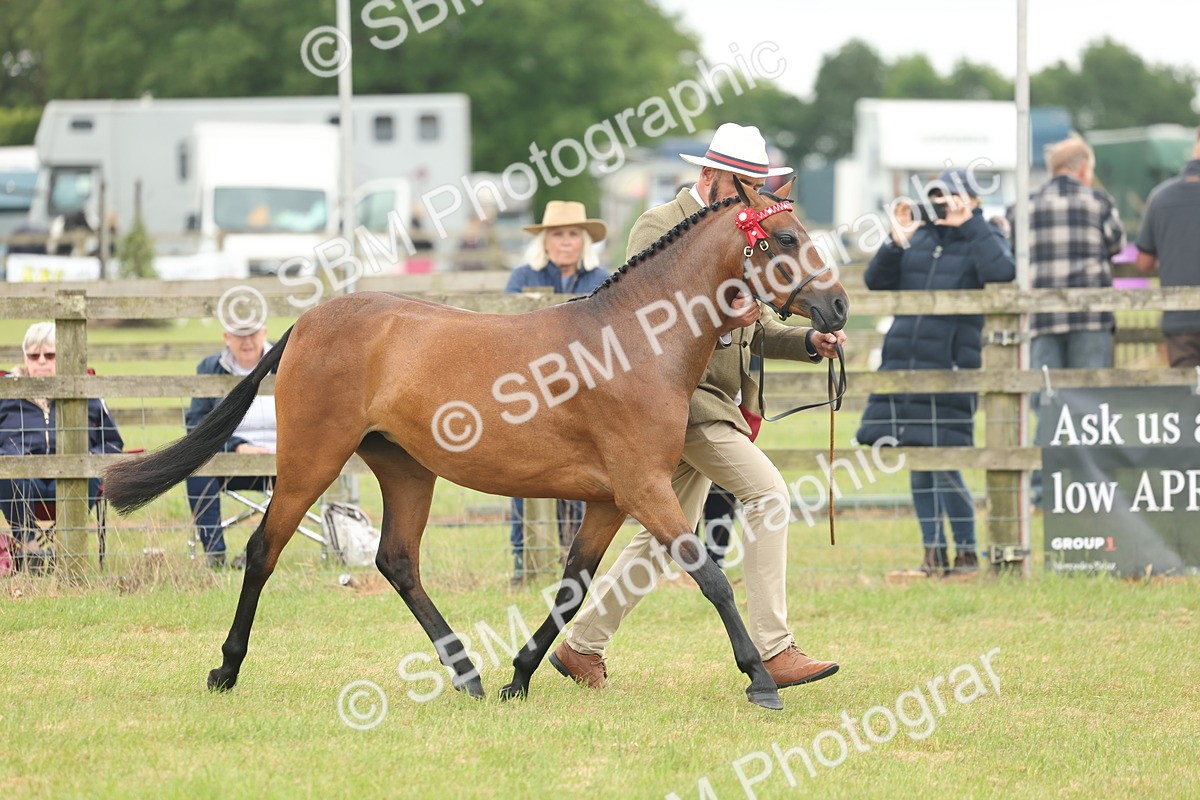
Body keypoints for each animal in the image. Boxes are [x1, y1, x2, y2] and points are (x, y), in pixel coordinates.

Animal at [102, 177, 849, 710]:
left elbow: (573, 586)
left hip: (406, 469)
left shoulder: (611, 500)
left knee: (397, 561)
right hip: (311, 459)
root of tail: (310, 322)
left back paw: (467, 674)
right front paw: (761, 680)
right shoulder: (644, 489)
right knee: (263, 549)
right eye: (785, 237)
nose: (838, 308)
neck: (635, 340)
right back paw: (226, 669)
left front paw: (520, 676)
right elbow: (710, 575)